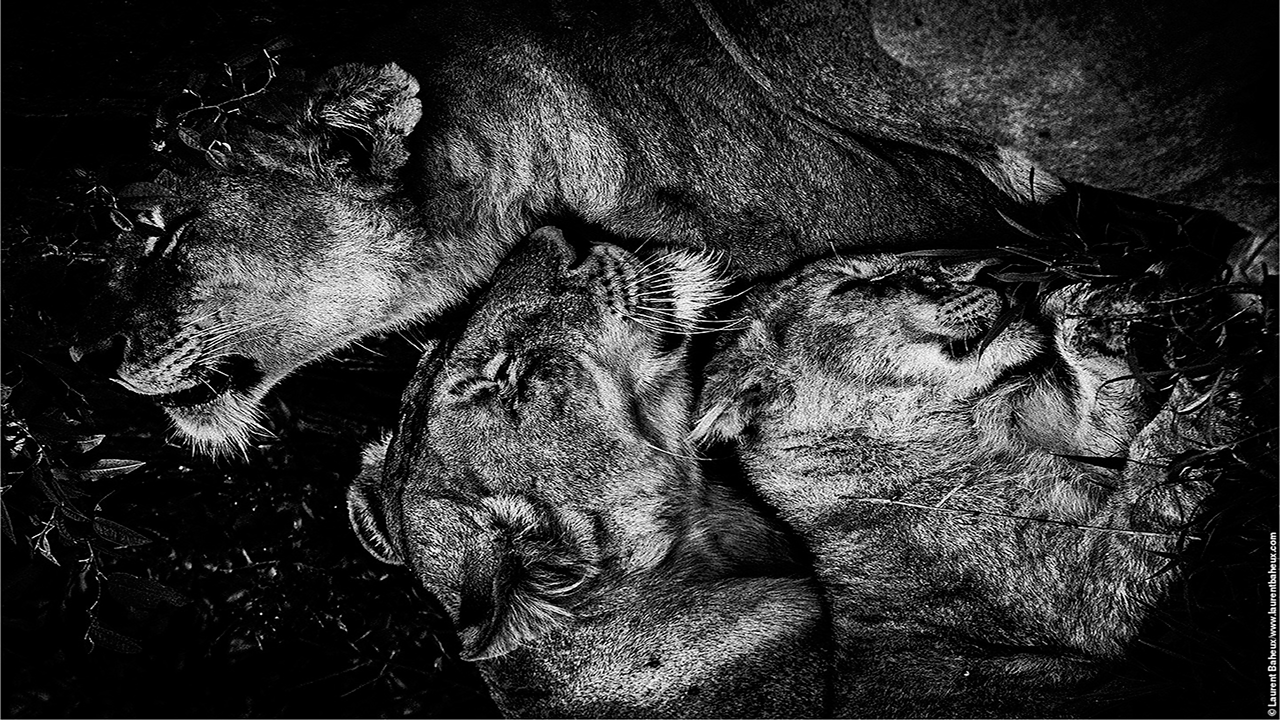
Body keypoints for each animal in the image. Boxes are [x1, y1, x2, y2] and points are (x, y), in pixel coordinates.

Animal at [692, 252, 1249, 716]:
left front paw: (1092, 309)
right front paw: (1214, 389)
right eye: (855, 284)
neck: (959, 424)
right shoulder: (1086, 598)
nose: (990, 271)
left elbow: (1112, 413)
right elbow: (1153, 482)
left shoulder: (1088, 448)